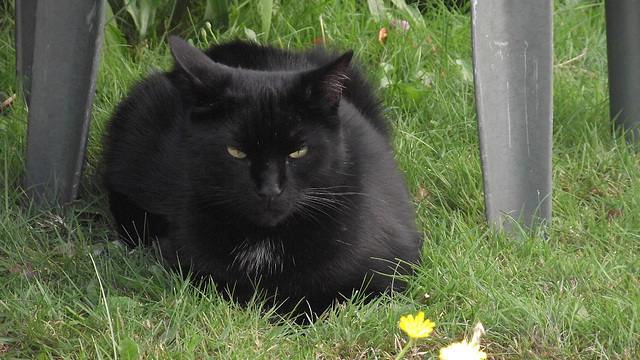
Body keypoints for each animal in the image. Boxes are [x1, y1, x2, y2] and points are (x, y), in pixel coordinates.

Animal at [102, 36, 422, 318]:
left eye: (298, 151)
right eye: (236, 152)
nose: (269, 189)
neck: (266, 245)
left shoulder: (388, 273)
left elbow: (324, 301)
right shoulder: (193, 265)